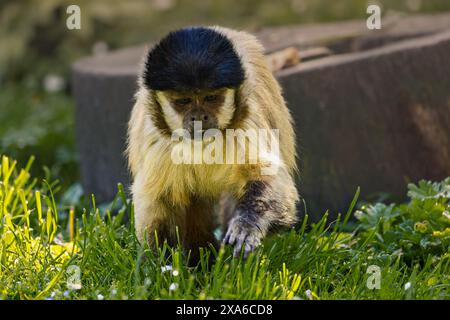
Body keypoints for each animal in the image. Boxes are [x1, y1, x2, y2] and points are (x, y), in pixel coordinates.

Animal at [126, 26, 298, 262]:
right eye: (184, 101)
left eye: (210, 98)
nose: (199, 117)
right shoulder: (155, 137)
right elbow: (158, 202)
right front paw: (159, 264)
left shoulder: (247, 118)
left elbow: (269, 178)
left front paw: (246, 225)